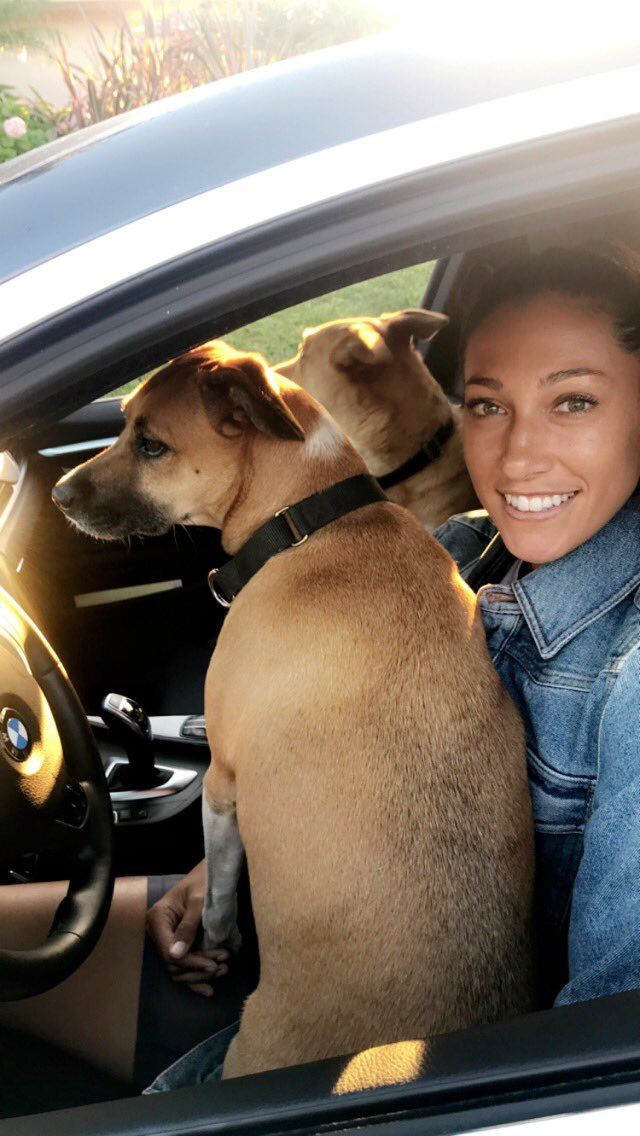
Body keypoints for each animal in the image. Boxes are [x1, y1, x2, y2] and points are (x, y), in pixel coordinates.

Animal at [52, 338, 536, 1081]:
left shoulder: (223, 782)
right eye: (124, 419)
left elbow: (221, 888)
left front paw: (216, 937)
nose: (55, 494)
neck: (308, 519)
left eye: (151, 444)